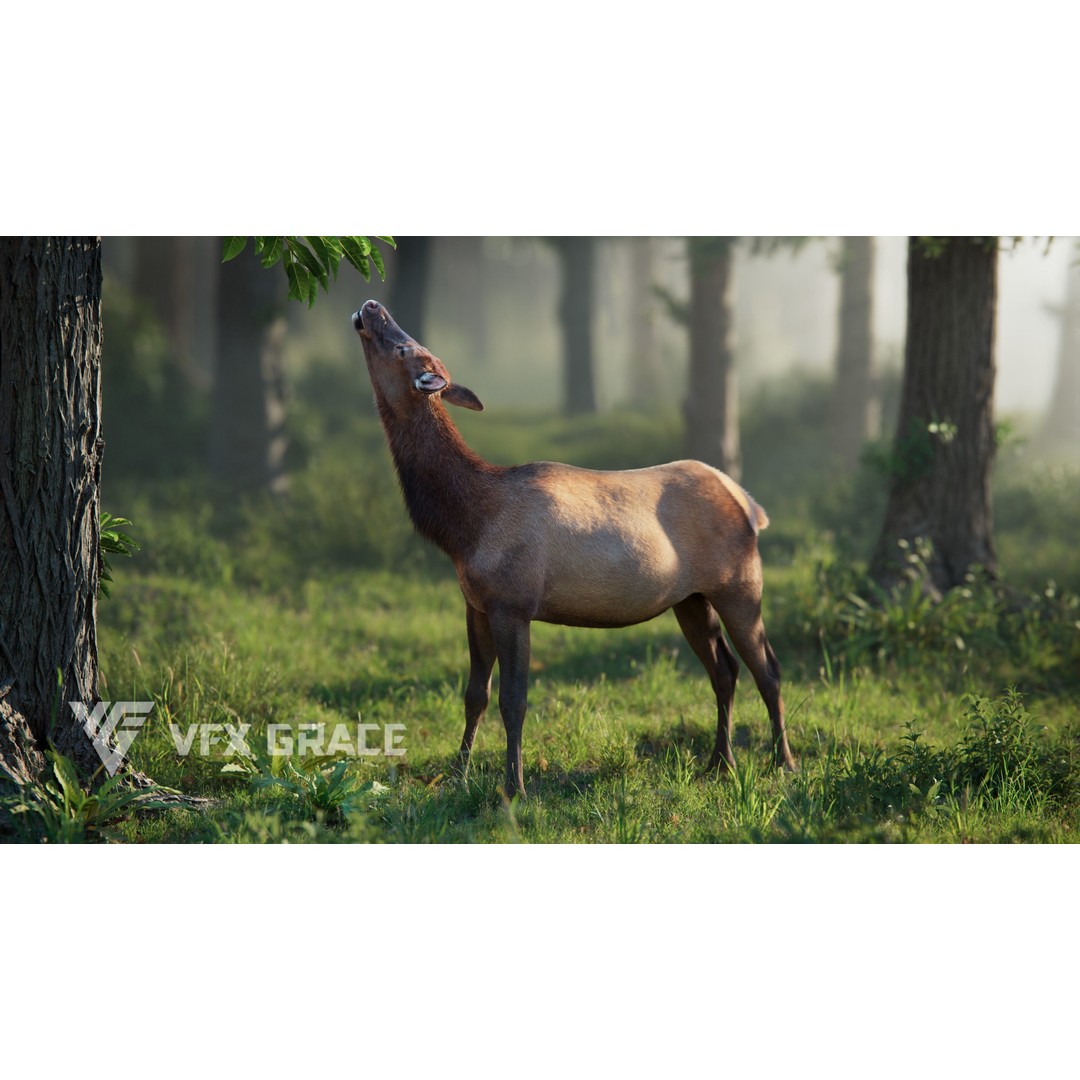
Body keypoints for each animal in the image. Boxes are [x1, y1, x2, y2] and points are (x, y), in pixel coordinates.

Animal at [352, 299, 796, 798]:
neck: (463, 527)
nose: (372, 305)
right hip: (691, 598)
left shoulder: (514, 602)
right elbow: (474, 695)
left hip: (741, 583)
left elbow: (513, 700)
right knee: (724, 670)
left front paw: (514, 787)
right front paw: (458, 775)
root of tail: (751, 506)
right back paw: (720, 762)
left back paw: (782, 762)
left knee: (768, 669)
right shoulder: (476, 604)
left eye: (404, 347)